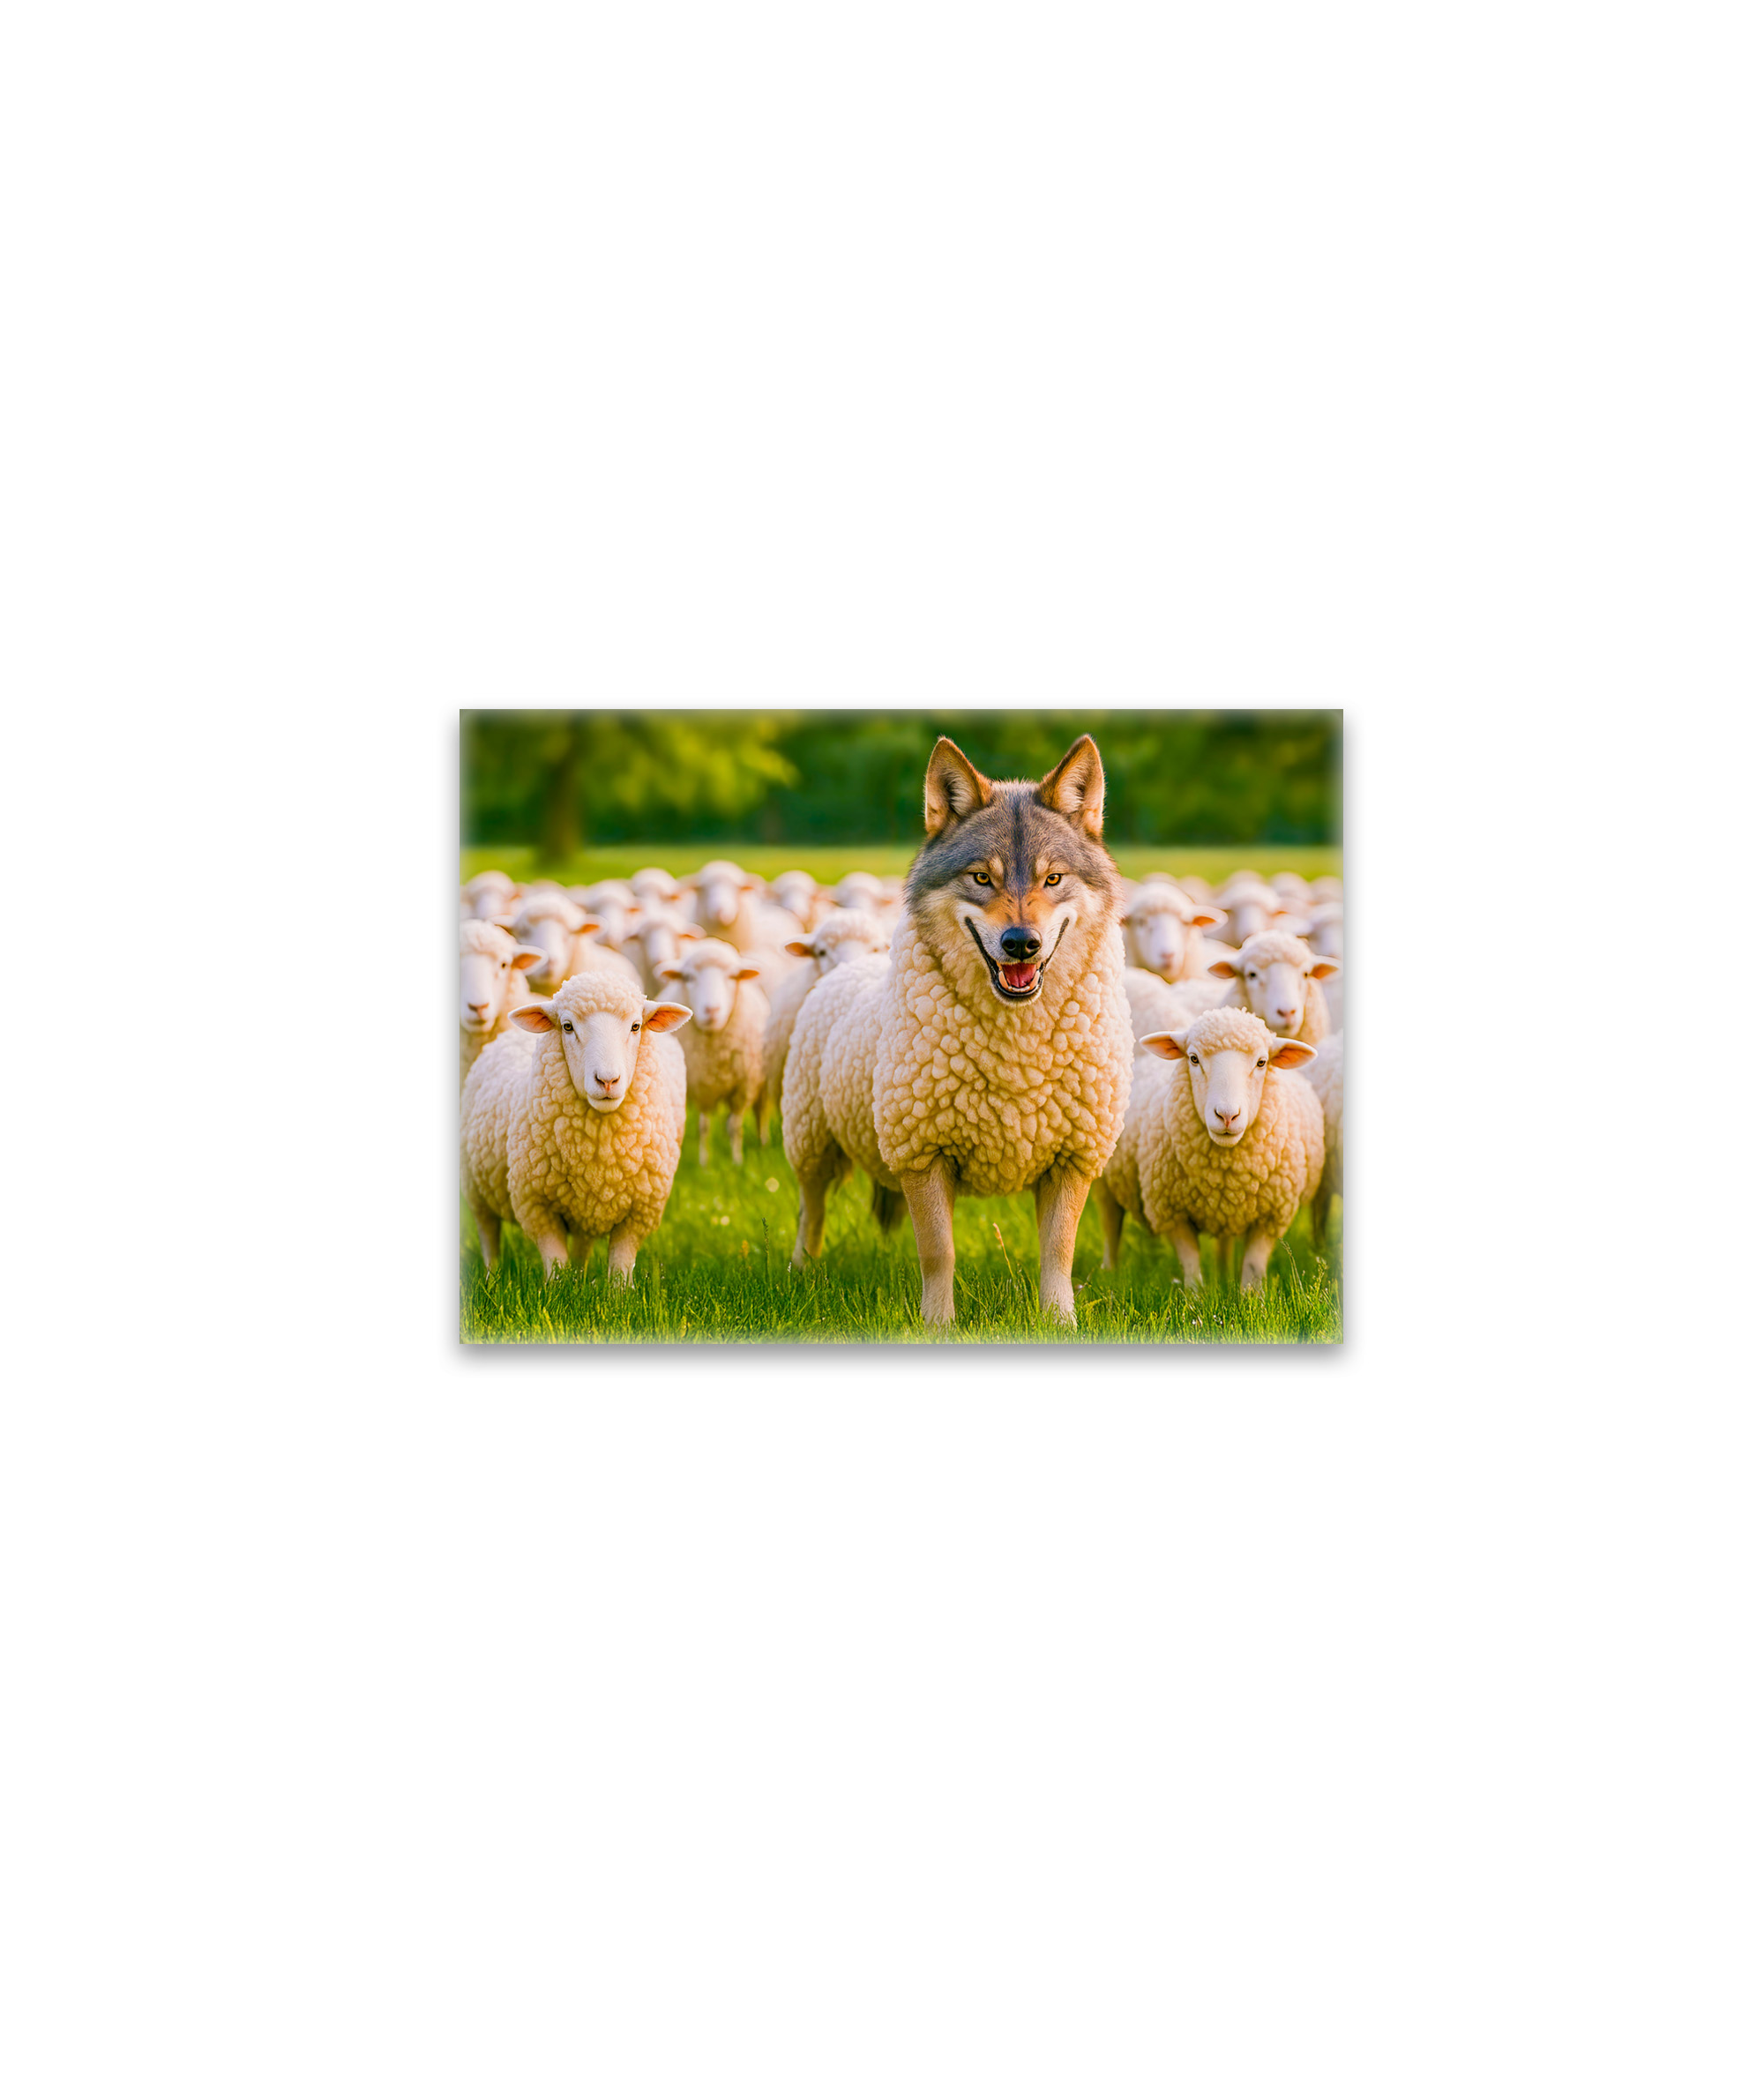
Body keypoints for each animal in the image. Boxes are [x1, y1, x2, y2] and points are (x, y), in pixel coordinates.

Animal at [460, 969, 692, 1281]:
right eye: (567, 1027)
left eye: (636, 1026)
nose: (607, 1080)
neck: (599, 1153)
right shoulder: (537, 1207)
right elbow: (555, 1263)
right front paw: (558, 1290)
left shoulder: (639, 1213)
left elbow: (621, 1269)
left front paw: (615, 1293)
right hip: (476, 1188)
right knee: (488, 1235)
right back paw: (491, 1277)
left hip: (586, 1211)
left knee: (582, 1246)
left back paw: (580, 1281)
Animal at [655, 936, 768, 1166]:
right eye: (689, 977)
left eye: (733, 977)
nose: (712, 1010)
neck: (716, 1055)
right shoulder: (701, 1085)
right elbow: (704, 1127)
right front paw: (704, 1163)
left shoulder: (742, 1089)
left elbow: (736, 1126)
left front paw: (736, 1161)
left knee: (760, 1111)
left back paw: (762, 1143)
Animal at [781, 734, 1136, 1324]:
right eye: (982, 878)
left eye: (1053, 879)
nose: (1021, 944)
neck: (1017, 1047)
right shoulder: (922, 1153)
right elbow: (938, 1251)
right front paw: (937, 1325)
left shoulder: (1072, 1158)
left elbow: (1058, 1251)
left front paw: (1058, 1321)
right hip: (812, 1145)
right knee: (811, 1211)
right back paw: (801, 1272)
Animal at [1094, 1008, 1323, 1290]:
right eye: (1193, 1059)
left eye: (1262, 1062)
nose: (1227, 1116)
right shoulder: (1173, 1213)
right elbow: (1191, 1264)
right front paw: (1195, 1296)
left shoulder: (1271, 1217)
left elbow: (1253, 1267)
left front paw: (1250, 1297)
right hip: (1105, 1183)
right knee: (1110, 1227)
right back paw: (1109, 1273)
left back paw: (1224, 1278)